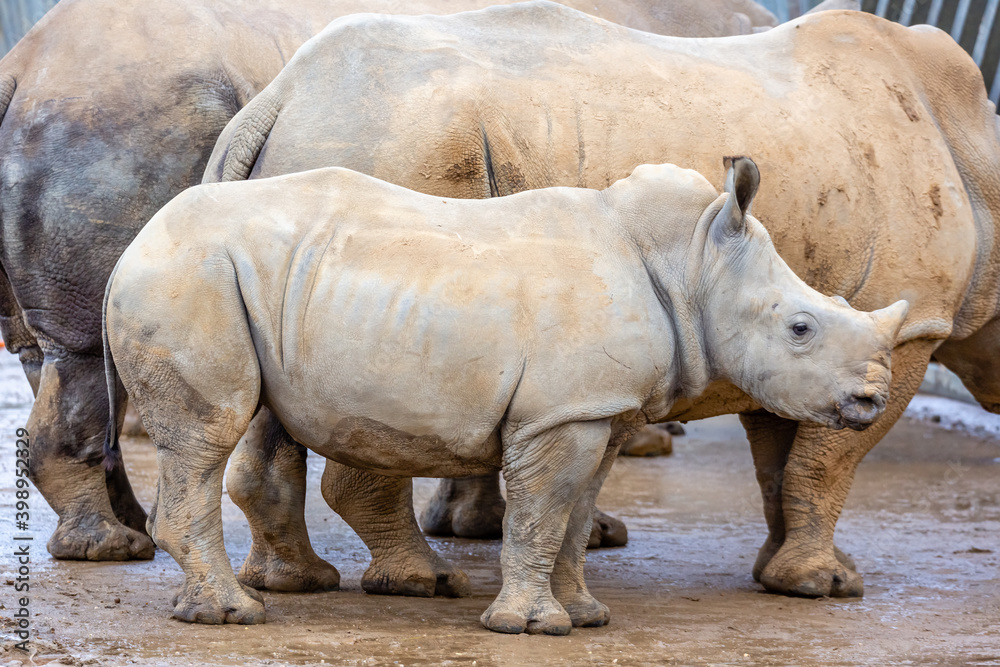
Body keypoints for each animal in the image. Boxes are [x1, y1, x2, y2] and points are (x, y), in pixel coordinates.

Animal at [0, 0, 776, 565]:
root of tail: (23, 63)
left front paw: (477, 524)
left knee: (60, 354)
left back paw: (135, 532)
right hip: (120, 113)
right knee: (84, 349)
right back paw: (112, 548)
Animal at [104, 157, 907, 630]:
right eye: (801, 327)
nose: (871, 401)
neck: (694, 265)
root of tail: (131, 246)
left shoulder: (600, 409)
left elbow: (576, 516)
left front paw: (585, 614)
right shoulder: (559, 414)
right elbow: (541, 512)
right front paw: (531, 626)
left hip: (223, 278)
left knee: (233, 431)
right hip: (191, 275)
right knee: (210, 431)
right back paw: (233, 615)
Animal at [204, 2, 1000, 600]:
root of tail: (278, 96)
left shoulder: (798, 336)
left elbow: (783, 452)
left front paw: (780, 571)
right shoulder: (901, 325)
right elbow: (830, 456)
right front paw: (826, 585)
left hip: (325, 175)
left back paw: (295, 582)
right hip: (401, 141)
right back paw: (421, 583)